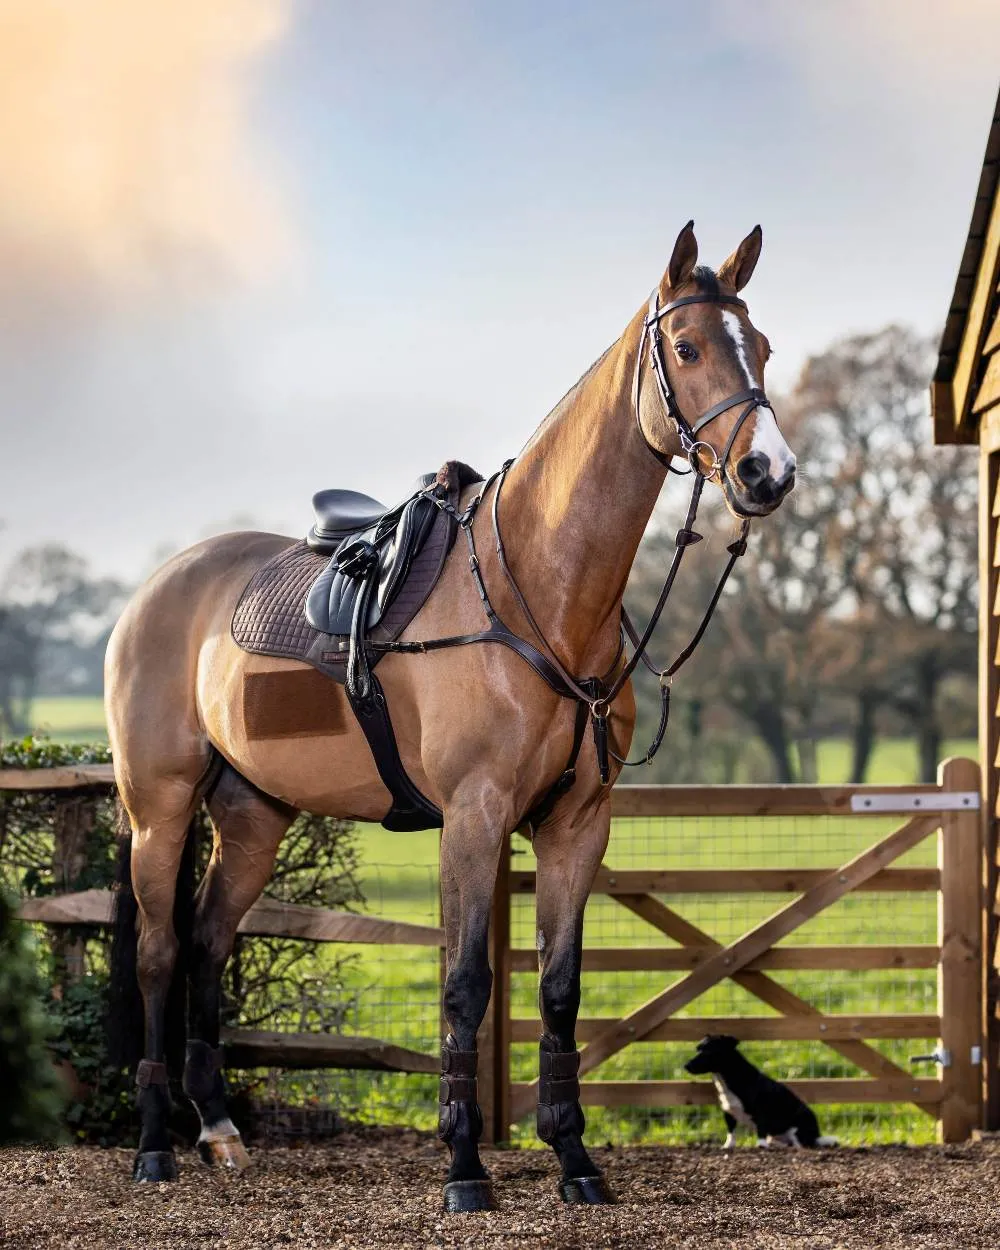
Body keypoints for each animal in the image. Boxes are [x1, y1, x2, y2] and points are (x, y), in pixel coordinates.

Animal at [107, 222, 795, 1210]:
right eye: (689, 347)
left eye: (763, 347)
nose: (766, 473)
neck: (538, 588)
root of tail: (154, 590)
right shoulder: (474, 815)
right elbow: (466, 985)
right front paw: (466, 1167)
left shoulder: (576, 825)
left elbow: (557, 990)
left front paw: (574, 1159)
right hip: (157, 809)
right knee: (161, 953)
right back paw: (154, 1146)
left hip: (253, 815)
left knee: (207, 941)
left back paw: (220, 1131)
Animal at [690, 1035, 835, 1150]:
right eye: (697, 1049)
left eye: (708, 1051)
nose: (686, 1065)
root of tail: (817, 1135)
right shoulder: (728, 1113)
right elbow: (731, 1132)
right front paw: (728, 1145)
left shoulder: (761, 1111)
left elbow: (761, 1129)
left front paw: (761, 1145)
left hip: (798, 1128)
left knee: (801, 1144)